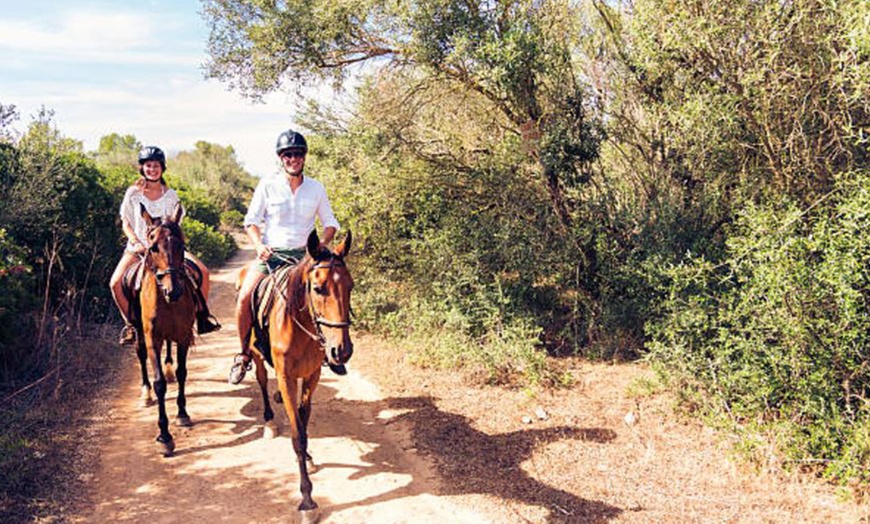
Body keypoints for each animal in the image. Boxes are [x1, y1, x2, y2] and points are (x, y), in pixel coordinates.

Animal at [127, 203, 199, 456]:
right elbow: (159, 384)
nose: (173, 291)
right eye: (153, 248)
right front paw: (164, 436)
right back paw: (144, 393)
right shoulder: (152, 339)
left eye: (182, 246)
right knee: (140, 356)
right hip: (139, 333)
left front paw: (183, 414)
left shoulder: (184, 335)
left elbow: (182, 372)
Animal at [247, 228, 352, 520]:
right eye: (318, 288)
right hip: (256, 356)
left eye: (350, 287)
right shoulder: (287, 377)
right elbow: (297, 435)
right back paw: (269, 421)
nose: (341, 351)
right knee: (262, 380)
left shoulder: (312, 375)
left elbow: (304, 422)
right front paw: (307, 499)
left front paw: (307, 458)